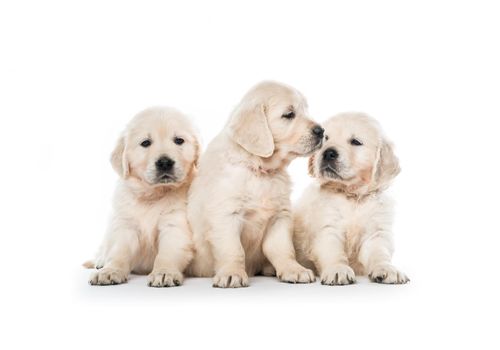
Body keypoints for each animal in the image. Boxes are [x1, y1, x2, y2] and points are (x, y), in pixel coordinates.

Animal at [86, 106, 199, 288]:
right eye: (145, 143)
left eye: (179, 140)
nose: (165, 162)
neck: (153, 195)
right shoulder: (126, 225)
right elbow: (118, 251)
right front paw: (110, 271)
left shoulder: (175, 224)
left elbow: (167, 253)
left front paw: (164, 272)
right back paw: (100, 261)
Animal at [187, 81, 324, 288]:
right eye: (289, 114)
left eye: (306, 110)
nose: (322, 131)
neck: (259, 170)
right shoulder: (226, 215)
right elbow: (233, 249)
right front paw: (232, 273)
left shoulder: (280, 217)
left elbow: (283, 248)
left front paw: (293, 269)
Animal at [294, 113, 408, 286]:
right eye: (325, 139)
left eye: (356, 142)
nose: (328, 153)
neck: (352, 196)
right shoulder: (327, 228)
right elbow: (333, 252)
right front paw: (337, 270)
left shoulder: (376, 232)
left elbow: (379, 252)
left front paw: (387, 269)